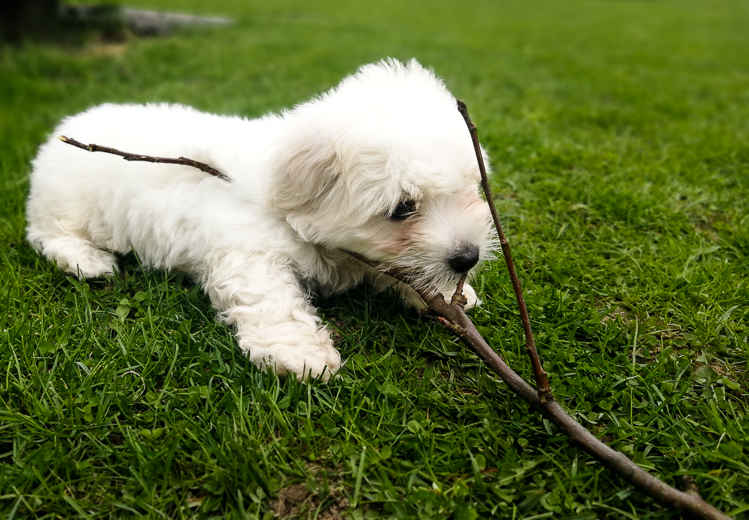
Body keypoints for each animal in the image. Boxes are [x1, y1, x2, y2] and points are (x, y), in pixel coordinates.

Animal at [24, 59, 496, 380]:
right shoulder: (247, 252)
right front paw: (301, 354)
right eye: (402, 209)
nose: (467, 258)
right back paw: (86, 261)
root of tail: (68, 125)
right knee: (48, 233)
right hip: (67, 201)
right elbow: (273, 301)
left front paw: (446, 294)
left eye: (471, 189)